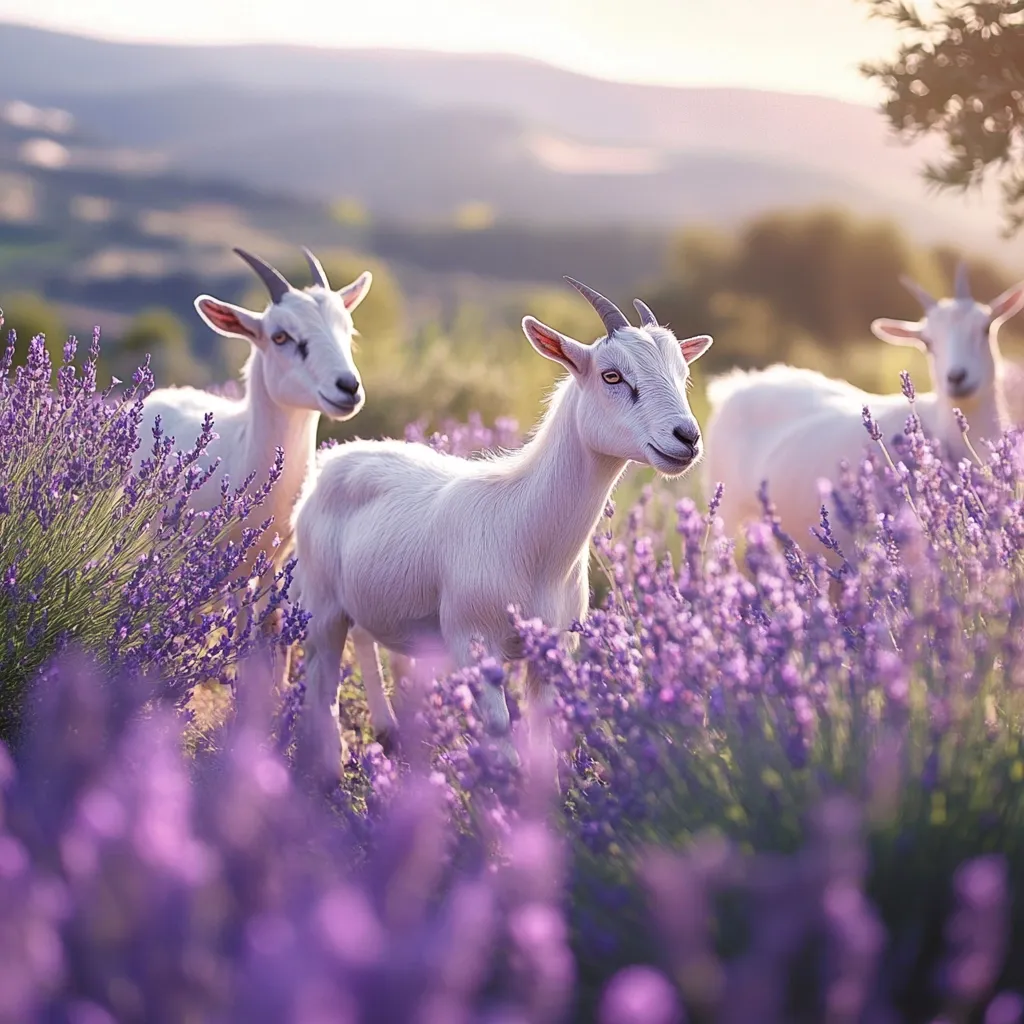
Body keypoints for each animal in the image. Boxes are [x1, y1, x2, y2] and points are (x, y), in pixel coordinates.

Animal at [287, 277, 713, 784]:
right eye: (612, 376)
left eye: (683, 375)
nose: (687, 437)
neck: (527, 531)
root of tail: (331, 459)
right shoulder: (473, 643)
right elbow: (501, 742)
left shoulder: (551, 649)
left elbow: (542, 743)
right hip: (321, 604)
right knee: (323, 683)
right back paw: (330, 772)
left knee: (367, 642)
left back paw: (389, 737)